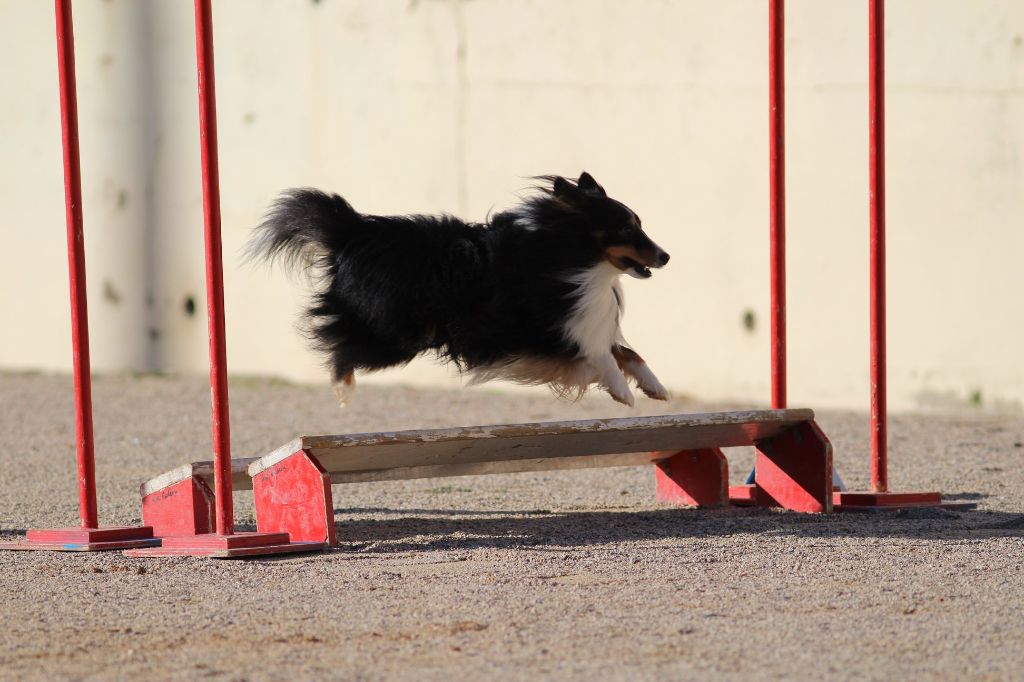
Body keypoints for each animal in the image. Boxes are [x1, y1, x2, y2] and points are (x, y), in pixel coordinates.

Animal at [249, 171, 671, 403]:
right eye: (626, 229)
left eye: (639, 225)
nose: (666, 256)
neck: (568, 254)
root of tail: (352, 228)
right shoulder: (547, 328)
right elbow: (603, 356)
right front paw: (622, 392)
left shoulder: (576, 322)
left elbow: (627, 352)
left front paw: (656, 388)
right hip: (399, 334)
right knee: (340, 349)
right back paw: (343, 389)